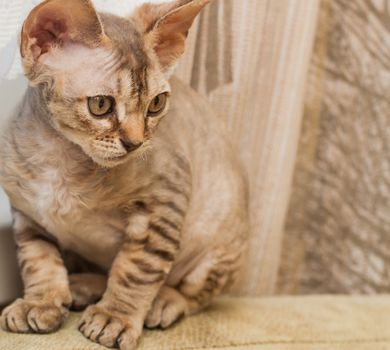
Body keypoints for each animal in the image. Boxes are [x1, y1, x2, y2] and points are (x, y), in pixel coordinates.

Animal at [0, 0, 248, 348]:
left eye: (156, 104)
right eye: (100, 105)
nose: (135, 143)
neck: (59, 159)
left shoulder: (164, 200)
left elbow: (136, 270)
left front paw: (115, 317)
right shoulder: (27, 214)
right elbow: (38, 261)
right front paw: (40, 303)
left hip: (218, 244)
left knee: (195, 294)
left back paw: (164, 301)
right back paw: (82, 287)